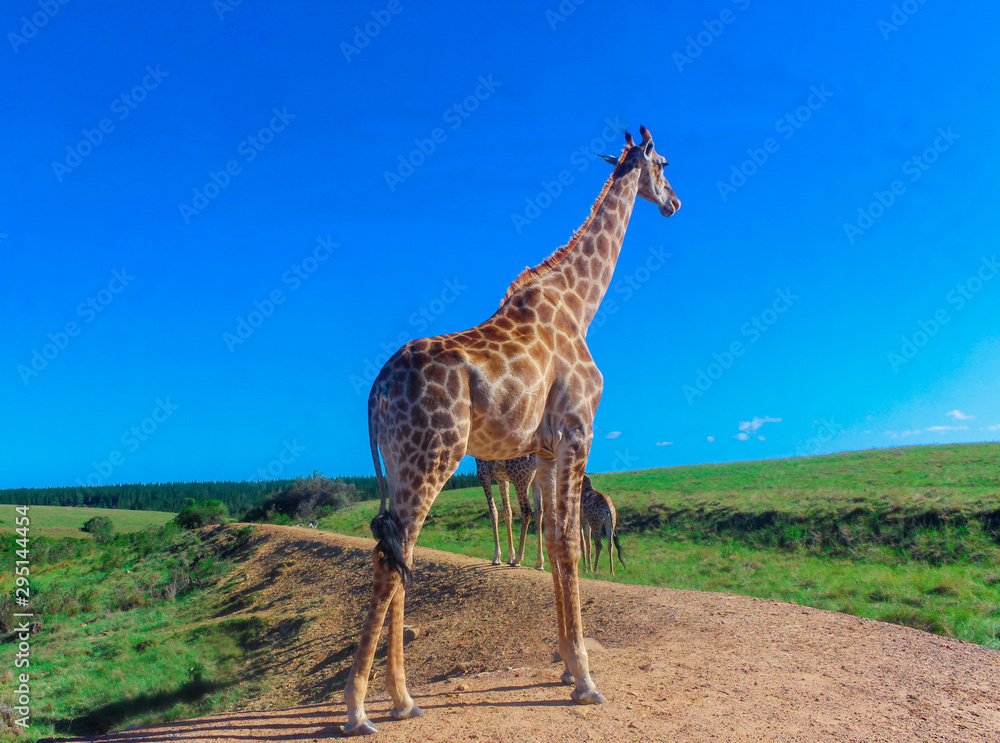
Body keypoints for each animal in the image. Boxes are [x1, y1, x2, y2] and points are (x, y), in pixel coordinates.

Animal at [342, 125, 680, 736]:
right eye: (663, 163)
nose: (674, 203)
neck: (579, 305)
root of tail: (374, 390)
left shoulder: (543, 449)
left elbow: (550, 535)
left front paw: (567, 668)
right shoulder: (576, 430)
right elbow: (568, 540)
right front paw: (586, 680)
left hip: (401, 463)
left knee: (398, 550)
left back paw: (402, 699)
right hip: (434, 455)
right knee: (390, 555)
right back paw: (358, 710)